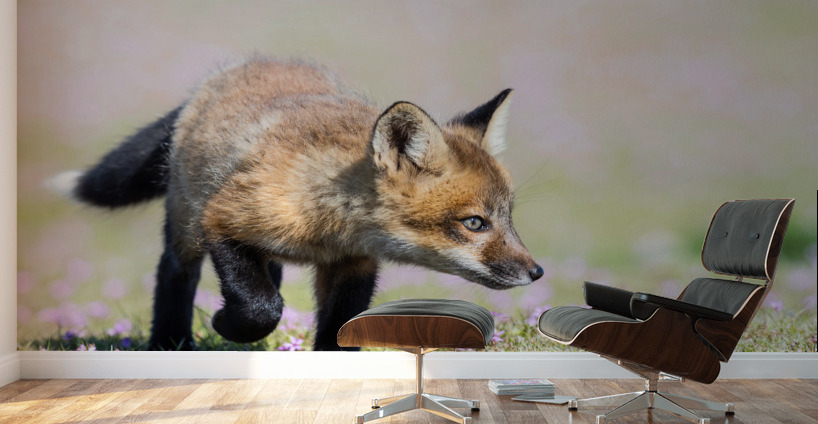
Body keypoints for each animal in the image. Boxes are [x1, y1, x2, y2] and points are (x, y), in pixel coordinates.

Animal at [68, 58, 544, 351]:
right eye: (475, 223)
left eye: (508, 217)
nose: (537, 272)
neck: (327, 229)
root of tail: (242, 65)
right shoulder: (222, 220)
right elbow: (262, 308)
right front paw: (225, 325)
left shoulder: (352, 265)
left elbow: (341, 332)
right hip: (186, 223)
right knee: (175, 274)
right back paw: (171, 342)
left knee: (270, 275)